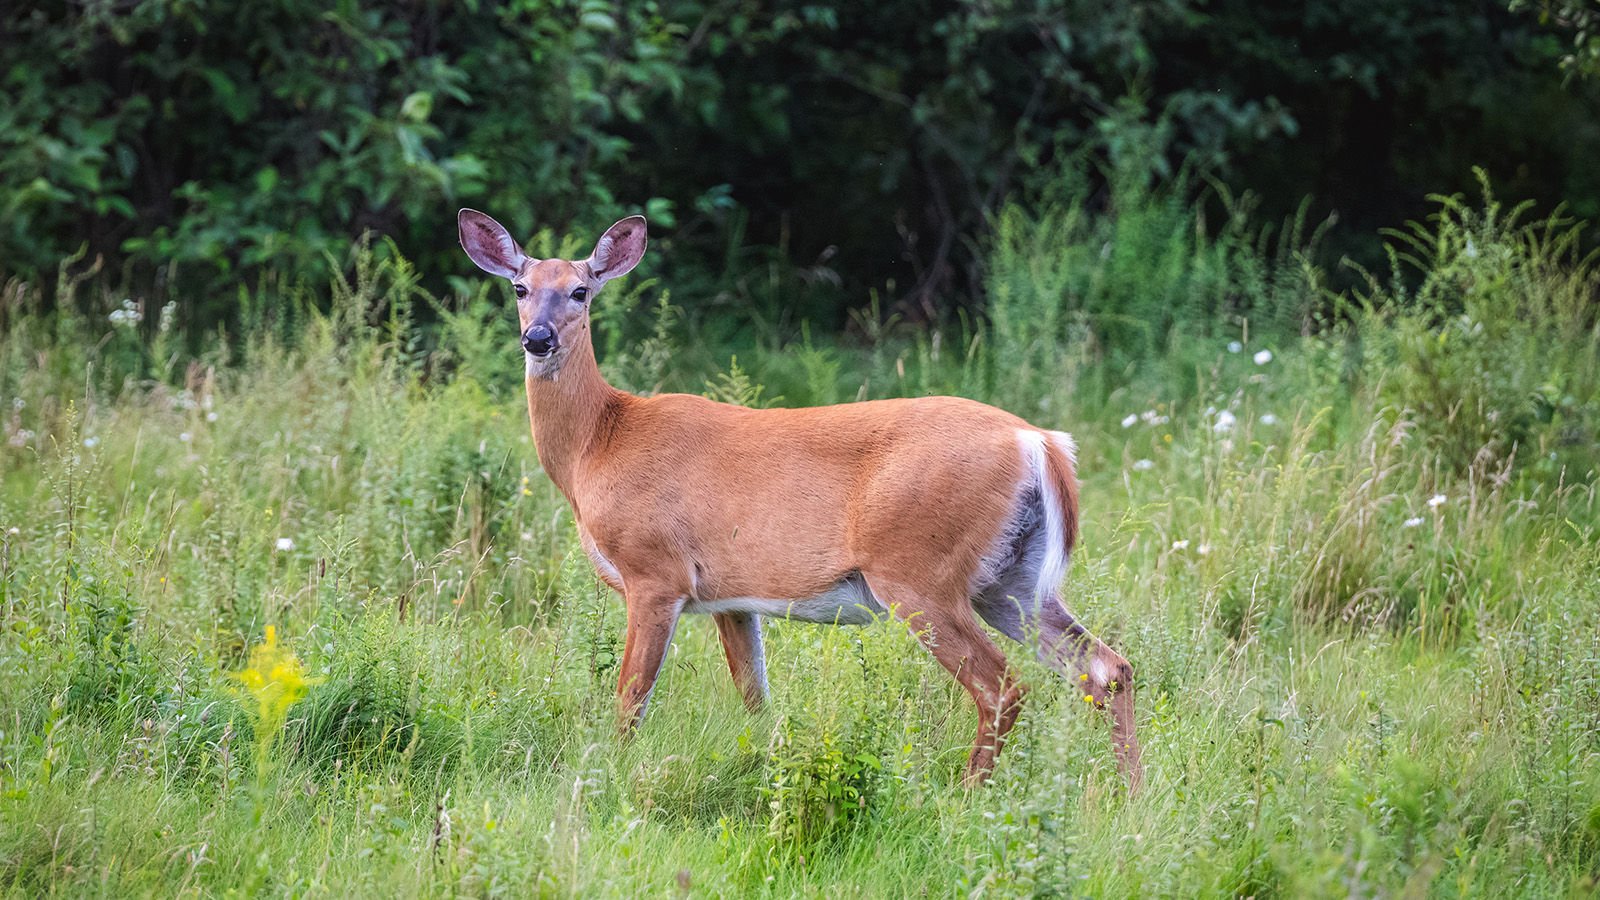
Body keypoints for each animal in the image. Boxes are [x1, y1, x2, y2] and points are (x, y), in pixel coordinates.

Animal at [457, 209, 1145, 784]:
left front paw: (610, 775)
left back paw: (967, 799)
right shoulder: (732, 597)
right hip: (1012, 580)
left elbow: (630, 698)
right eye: (520, 288)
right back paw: (1128, 800)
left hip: (918, 572)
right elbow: (756, 699)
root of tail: (1041, 443)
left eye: (580, 291)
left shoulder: (654, 572)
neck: (599, 443)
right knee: (1107, 668)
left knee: (1003, 686)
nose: (538, 338)